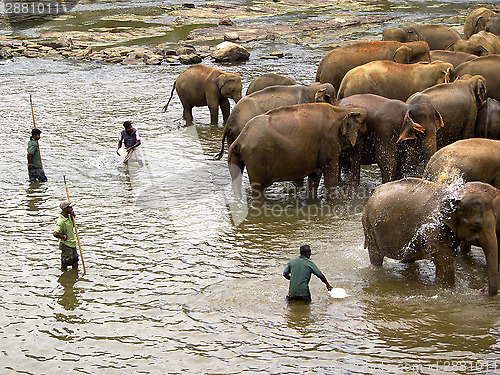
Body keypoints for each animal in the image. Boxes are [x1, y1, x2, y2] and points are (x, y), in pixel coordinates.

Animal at [228, 103, 368, 203]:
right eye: (363, 132)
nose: (350, 196)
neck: (340, 110)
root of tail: (240, 139)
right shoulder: (329, 141)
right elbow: (330, 172)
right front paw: (333, 203)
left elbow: (315, 176)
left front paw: (312, 201)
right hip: (256, 159)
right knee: (258, 190)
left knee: (236, 182)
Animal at [362, 179, 498, 296]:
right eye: (476, 224)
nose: (482, 290)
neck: (457, 195)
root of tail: (374, 193)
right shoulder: (434, 227)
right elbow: (444, 261)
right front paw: (448, 289)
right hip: (369, 226)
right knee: (376, 256)